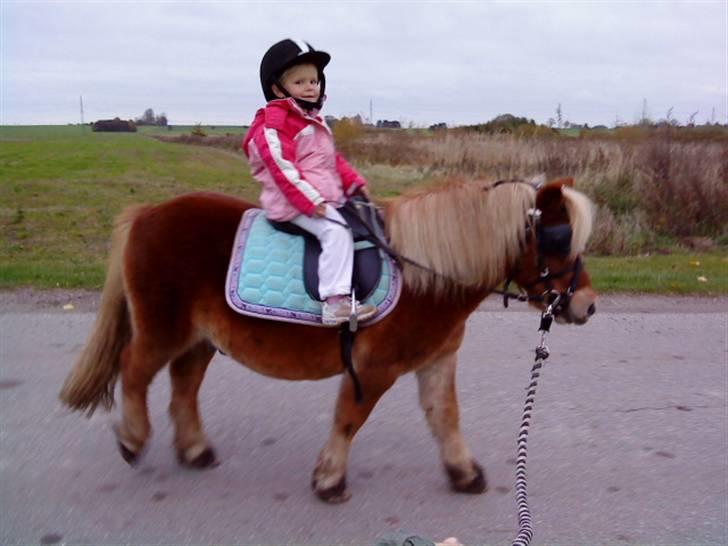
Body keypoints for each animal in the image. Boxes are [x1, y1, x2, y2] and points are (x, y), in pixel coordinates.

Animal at [59, 176, 596, 500]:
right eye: (559, 238)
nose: (587, 304)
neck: (425, 273)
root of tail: (147, 212)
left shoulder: (436, 360)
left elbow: (445, 419)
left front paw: (464, 472)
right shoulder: (374, 370)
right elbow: (348, 419)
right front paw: (330, 478)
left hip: (199, 338)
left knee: (183, 385)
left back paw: (194, 450)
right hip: (162, 330)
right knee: (133, 370)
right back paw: (133, 439)